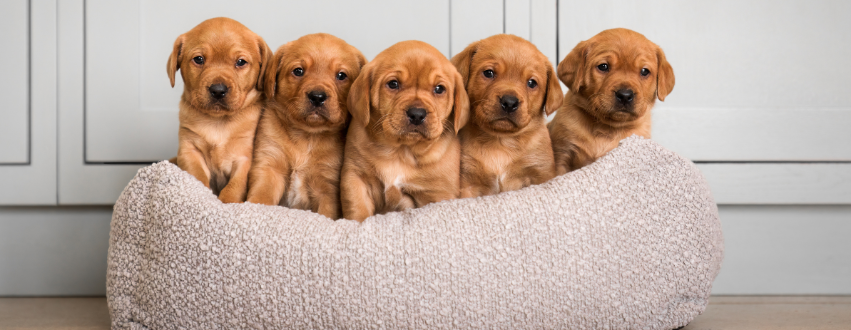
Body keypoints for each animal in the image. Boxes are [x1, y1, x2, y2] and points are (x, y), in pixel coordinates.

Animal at [167, 18, 272, 204]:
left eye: (241, 62)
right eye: (199, 59)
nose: (218, 90)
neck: (217, 122)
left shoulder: (244, 159)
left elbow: (234, 188)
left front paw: (226, 203)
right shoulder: (189, 150)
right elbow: (198, 177)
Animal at [246, 33, 366, 219]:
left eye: (341, 75)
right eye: (298, 71)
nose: (317, 96)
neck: (307, 136)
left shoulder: (328, 188)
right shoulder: (269, 167)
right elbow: (261, 197)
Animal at [342, 40, 472, 222]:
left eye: (439, 89)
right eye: (393, 84)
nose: (417, 114)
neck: (401, 150)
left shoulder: (438, 193)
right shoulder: (355, 178)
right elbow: (358, 211)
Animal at [452, 34, 564, 197]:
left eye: (532, 83)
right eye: (489, 73)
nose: (510, 102)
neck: (501, 142)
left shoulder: (540, 173)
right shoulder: (468, 184)